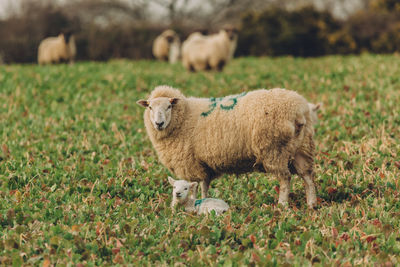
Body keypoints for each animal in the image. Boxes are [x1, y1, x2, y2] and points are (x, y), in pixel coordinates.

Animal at [138, 86, 318, 209]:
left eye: (169, 106)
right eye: (150, 107)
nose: (159, 123)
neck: (184, 118)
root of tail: (299, 110)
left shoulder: (192, 164)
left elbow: (195, 187)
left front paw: (194, 203)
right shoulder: (204, 165)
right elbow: (204, 186)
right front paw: (205, 201)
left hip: (274, 149)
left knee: (285, 178)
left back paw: (282, 205)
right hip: (301, 148)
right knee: (307, 176)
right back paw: (312, 204)